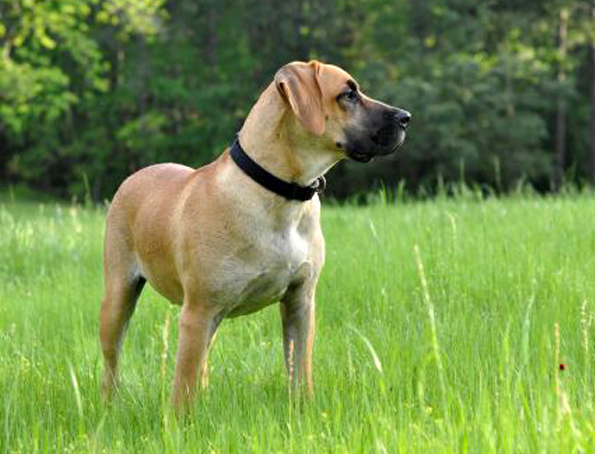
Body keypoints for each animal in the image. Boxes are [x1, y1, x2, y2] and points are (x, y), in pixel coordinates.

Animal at [100, 60, 412, 412]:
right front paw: (180, 422)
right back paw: (108, 407)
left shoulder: (300, 302)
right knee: (111, 364)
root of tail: (135, 176)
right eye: (348, 94)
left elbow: (299, 370)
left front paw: (303, 411)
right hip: (119, 297)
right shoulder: (198, 311)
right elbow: (183, 387)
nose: (406, 117)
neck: (282, 193)